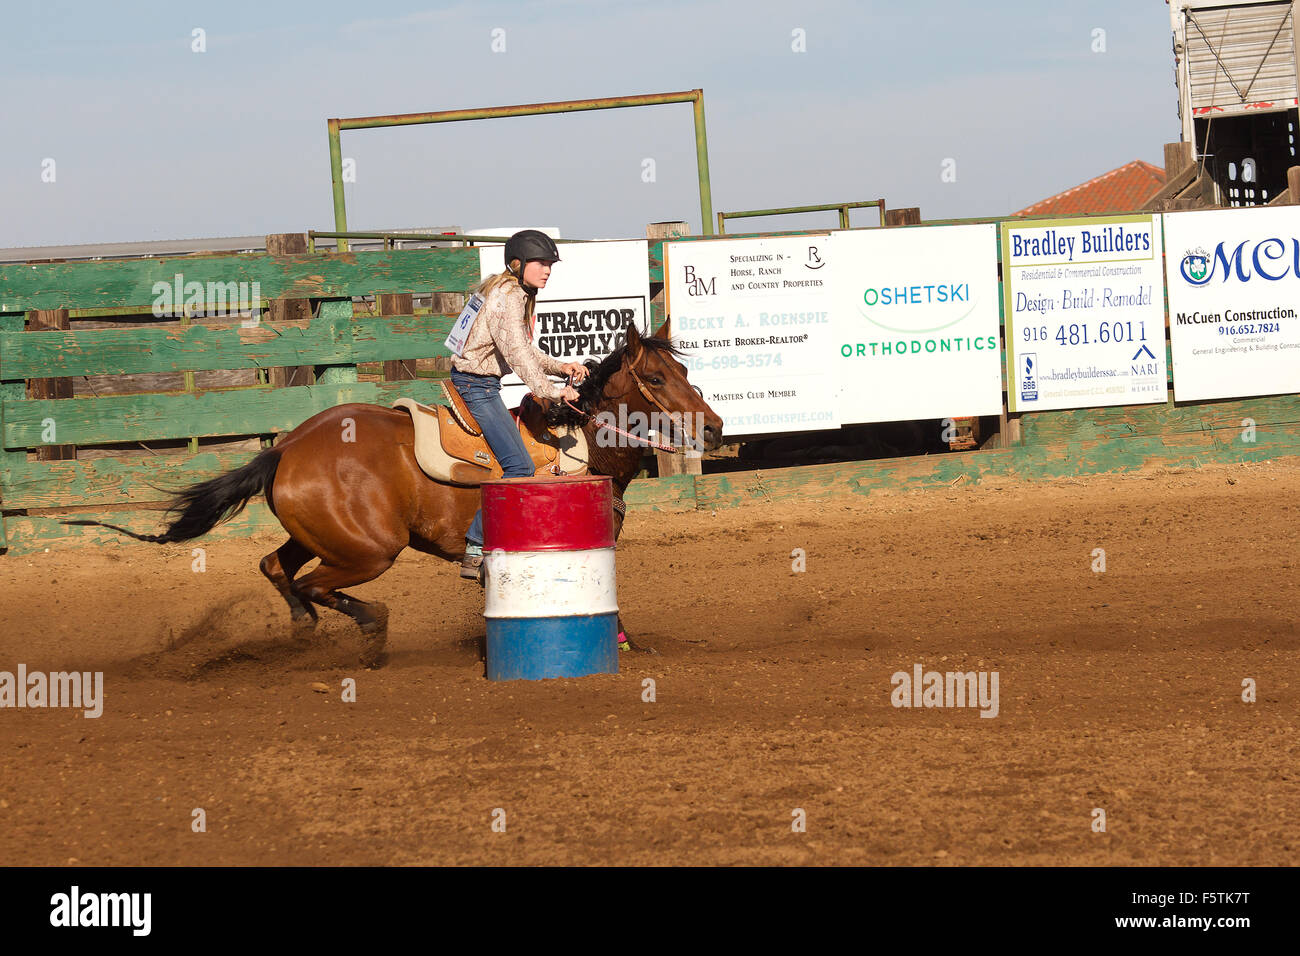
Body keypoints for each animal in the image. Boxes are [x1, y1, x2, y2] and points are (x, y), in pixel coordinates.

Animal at [105, 321, 722, 665]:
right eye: (658, 379)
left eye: (685, 372)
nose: (714, 428)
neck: (584, 443)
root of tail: (288, 448)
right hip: (369, 552)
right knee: (313, 585)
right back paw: (370, 631)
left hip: (322, 537)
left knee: (275, 568)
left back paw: (304, 634)